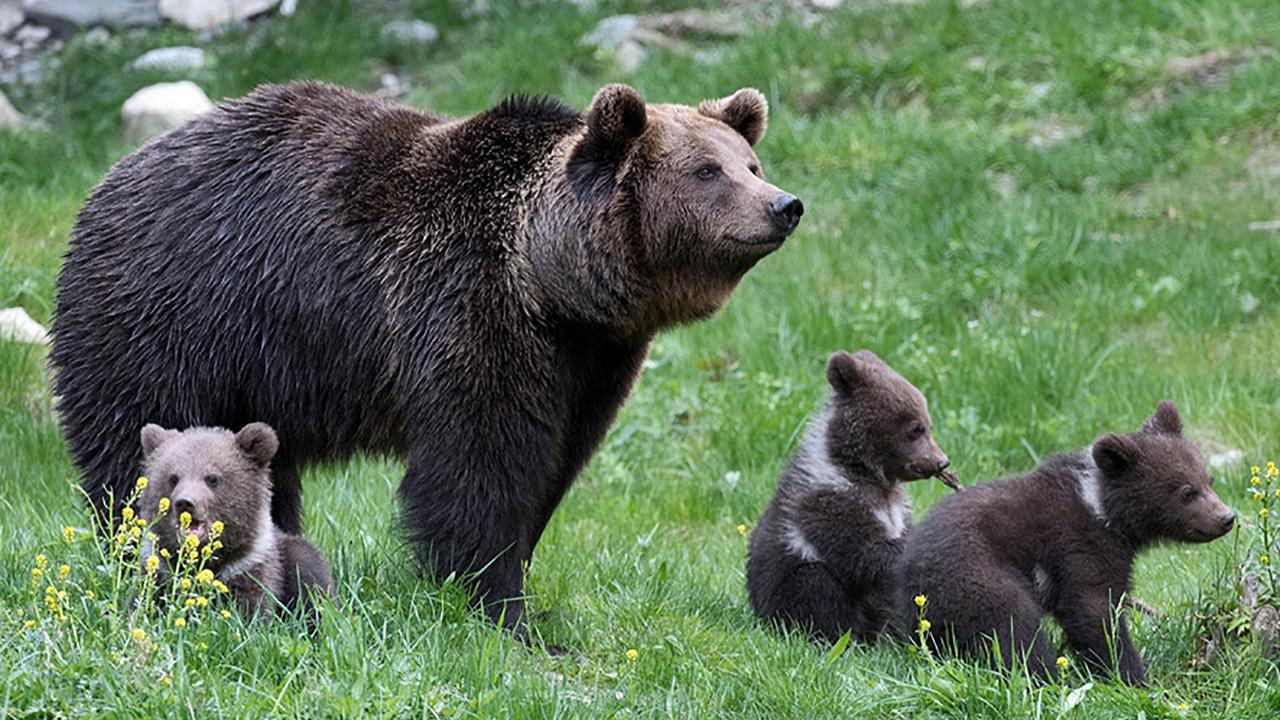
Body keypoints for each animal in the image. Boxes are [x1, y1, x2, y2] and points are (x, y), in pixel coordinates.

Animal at [57, 81, 808, 625]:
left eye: (751, 163)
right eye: (707, 170)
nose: (784, 204)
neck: (553, 282)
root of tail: (107, 181)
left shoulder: (593, 360)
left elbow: (555, 462)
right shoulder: (464, 306)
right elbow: (478, 465)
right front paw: (499, 606)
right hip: (169, 314)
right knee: (132, 438)